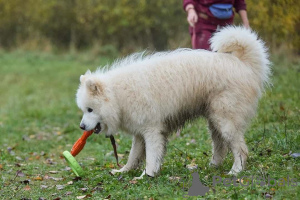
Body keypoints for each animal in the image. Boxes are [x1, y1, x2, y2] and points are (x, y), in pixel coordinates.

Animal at [76, 26, 270, 178]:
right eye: (84, 110)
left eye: (90, 109)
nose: (82, 127)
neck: (118, 95)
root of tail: (243, 64)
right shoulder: (139, 134)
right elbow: (133, 156)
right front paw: (124, 171)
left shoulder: (152, 131)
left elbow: (151, 157)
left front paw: (147, 175)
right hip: (215, 121)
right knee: (220, 146)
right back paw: (212, 166)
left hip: (225, 120)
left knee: (240, 149)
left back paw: (236, 171)